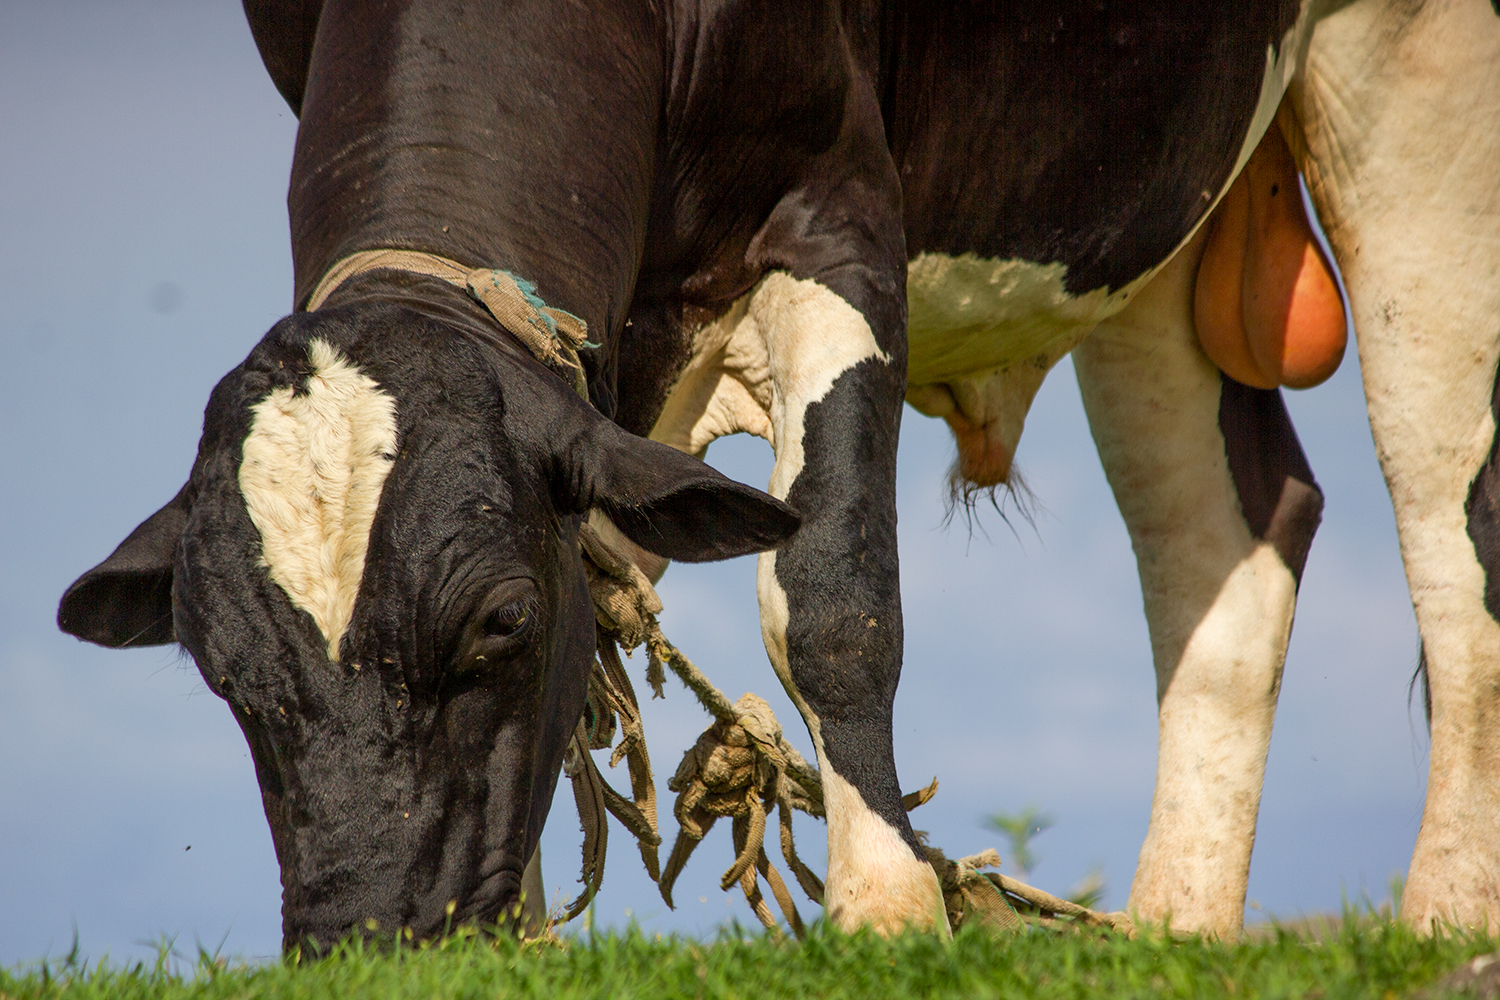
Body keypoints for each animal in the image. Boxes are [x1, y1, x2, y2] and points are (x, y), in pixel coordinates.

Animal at [56, 0, 1500, 947]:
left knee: (1448, 507)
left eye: (499, 621)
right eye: (223, 670)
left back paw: (1447, 918)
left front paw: (890, 911)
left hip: (1414, 78)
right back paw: (1174, 935)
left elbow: (835, 599)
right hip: (1163, 206)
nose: (368, 943)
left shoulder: (837, 208)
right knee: (1232, 542)